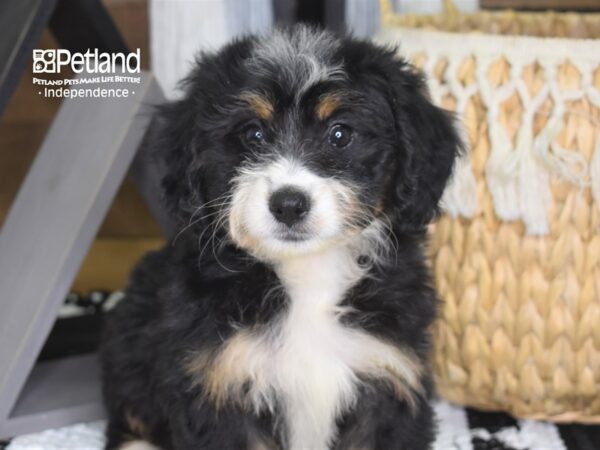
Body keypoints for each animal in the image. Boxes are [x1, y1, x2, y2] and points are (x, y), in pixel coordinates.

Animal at [101, 25, 462, 450]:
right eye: (253, 133)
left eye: (340, 134)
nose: (289, 204)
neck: (309, 276)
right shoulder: (219, 380)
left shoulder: (389, 373)